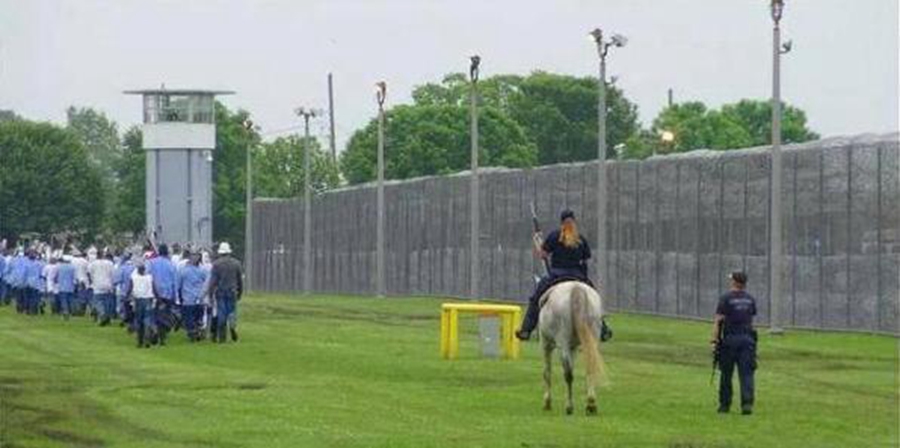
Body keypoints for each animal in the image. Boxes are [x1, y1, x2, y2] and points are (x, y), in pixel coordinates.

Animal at [536, 282, 608, 414]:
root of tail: (576, 288)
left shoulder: (546, 345)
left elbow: (547, 372)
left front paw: (547, 402)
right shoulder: (572, 348)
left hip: (562, 344)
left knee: (568, 375)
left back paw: (569, 406)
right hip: (591, 342)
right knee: (589, 368)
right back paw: (591, 404)